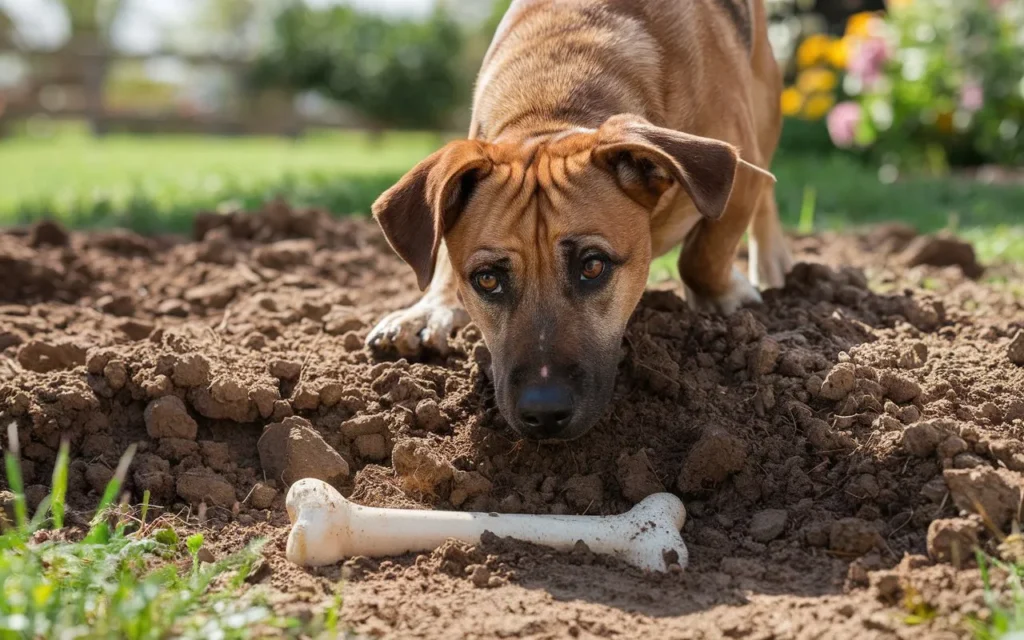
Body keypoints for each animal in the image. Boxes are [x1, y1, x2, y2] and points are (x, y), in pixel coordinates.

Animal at [368, 0, 790, 438]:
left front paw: (727, 298)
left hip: (766, 102)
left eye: (592, 266)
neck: (550, 108)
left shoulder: (739, 168)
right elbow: (444, 260)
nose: (544, 412)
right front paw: (428, 309)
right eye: (486, 280)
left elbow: (702, 257)